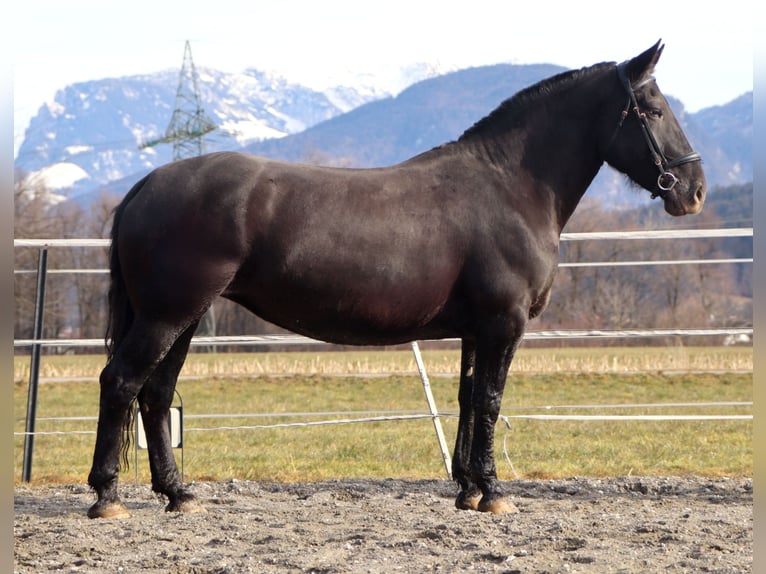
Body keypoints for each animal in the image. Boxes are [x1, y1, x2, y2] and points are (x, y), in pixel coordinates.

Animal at [85, 44, 708, 520]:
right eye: (653, 109)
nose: (694, 191)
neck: (509, 186)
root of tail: (146, 184)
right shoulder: (503, 323)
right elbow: (490, 399)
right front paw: (493, 493)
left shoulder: (476, 329)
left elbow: (467, 399)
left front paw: (467, 490)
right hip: (169, 315)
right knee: (121, 383)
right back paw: (107, 496)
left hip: (184, 317)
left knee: (155, 395)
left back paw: (177, 493)